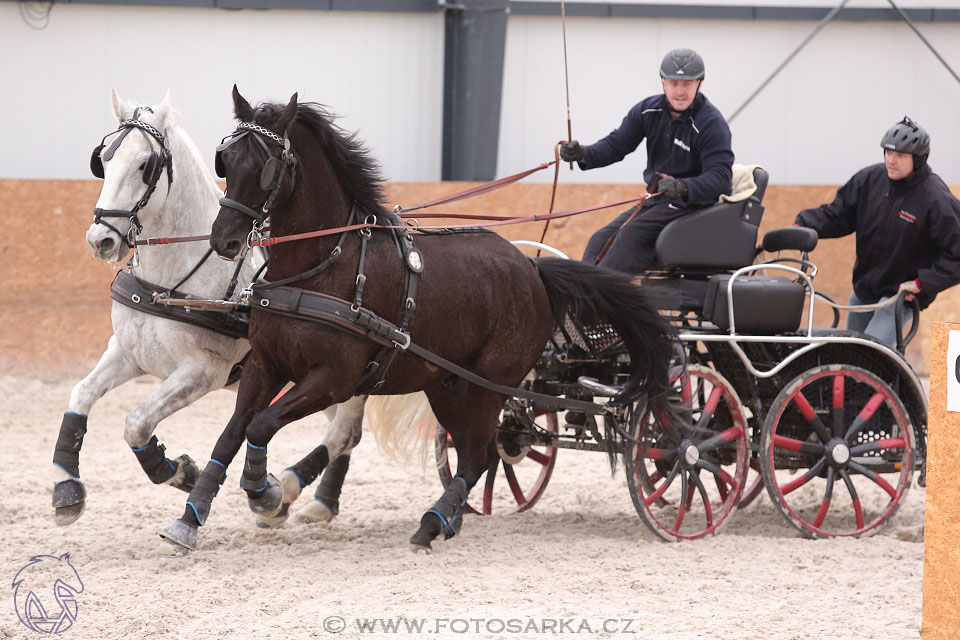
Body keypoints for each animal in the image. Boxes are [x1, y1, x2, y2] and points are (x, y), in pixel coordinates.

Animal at [54, 91, 380, 528]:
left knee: (345, 429)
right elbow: (81, 394)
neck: (174, 280)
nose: (100, 240)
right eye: (103, 161)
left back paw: (288, 490)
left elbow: (137, 422)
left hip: (341, 376)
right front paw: (66, 489)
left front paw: (180, 472)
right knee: (346, 432)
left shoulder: (202, 371)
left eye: (145, 165)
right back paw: (316, 502)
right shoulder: (127, 353)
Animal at [161, 87, 672, 552]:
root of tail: (533, 269)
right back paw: (448, 520)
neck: (323, 266)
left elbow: (260, 426)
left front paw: (266, 494)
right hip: (447, 384)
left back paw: (431, 525)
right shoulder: (266, 366)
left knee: (477, 455)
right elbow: (231, 434)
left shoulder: (334, 379)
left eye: (264, 167)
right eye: (227, 160)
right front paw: (190, 518)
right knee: (477, 454)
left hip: (490, 385)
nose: (223, 240)